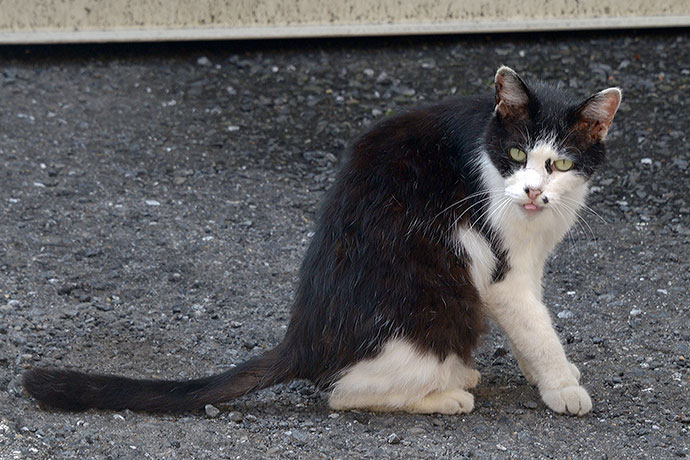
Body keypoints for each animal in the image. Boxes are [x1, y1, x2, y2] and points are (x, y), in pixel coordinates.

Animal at [25, 66, 620, 416]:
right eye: (517, 155)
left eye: (560, 164)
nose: (533, 191)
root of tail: (304, 340)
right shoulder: (502, 271)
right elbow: (535, 329)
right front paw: (562, 389)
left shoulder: (531, 261)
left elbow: (532, 328)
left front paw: (553, 375)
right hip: (442, 307)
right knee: (341, 394)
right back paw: (445, 394)